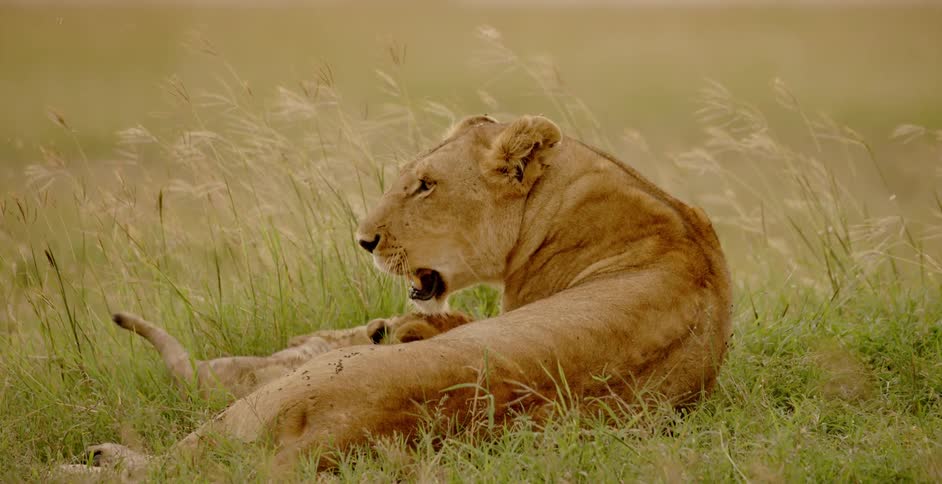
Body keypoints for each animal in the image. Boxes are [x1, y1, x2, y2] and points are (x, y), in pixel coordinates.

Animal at [68, 114, 732, 477]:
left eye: (424, 186)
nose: (364, 240)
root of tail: (342, 432)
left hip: (263, 404)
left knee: (173, 465)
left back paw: (92, 460)